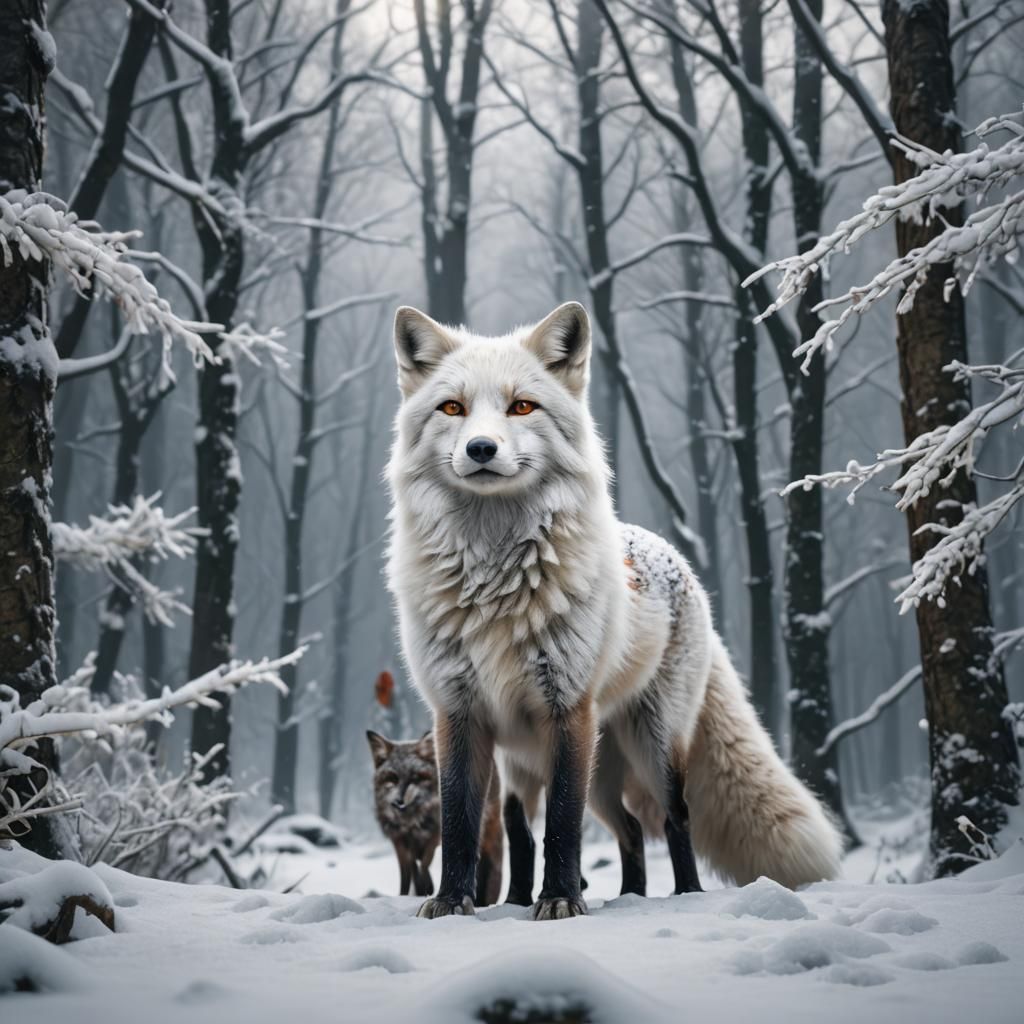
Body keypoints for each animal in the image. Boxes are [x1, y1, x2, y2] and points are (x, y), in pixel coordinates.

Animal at [367, 729, 503, 904]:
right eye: (393, 778)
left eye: (415, 778)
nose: (399, 801)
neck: (412, 823)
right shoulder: (400, 843)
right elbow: (408, 874)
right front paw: (406, 894)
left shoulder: (434, 837)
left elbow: (425, 864)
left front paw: (428, 888)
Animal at [385, 301, 843, 920]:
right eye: (452, 408)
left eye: (521, 405)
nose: (481, 449)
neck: (494, 584)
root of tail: (679, 561)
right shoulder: (458, 711)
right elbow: (463, 822)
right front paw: (455, 903)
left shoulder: (567, 708)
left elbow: (563, 825)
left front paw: (559, 901)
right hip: (545, 768)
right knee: (595, 830)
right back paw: (583, 895)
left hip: (650, 746)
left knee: (673, 821)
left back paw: (682, 895)